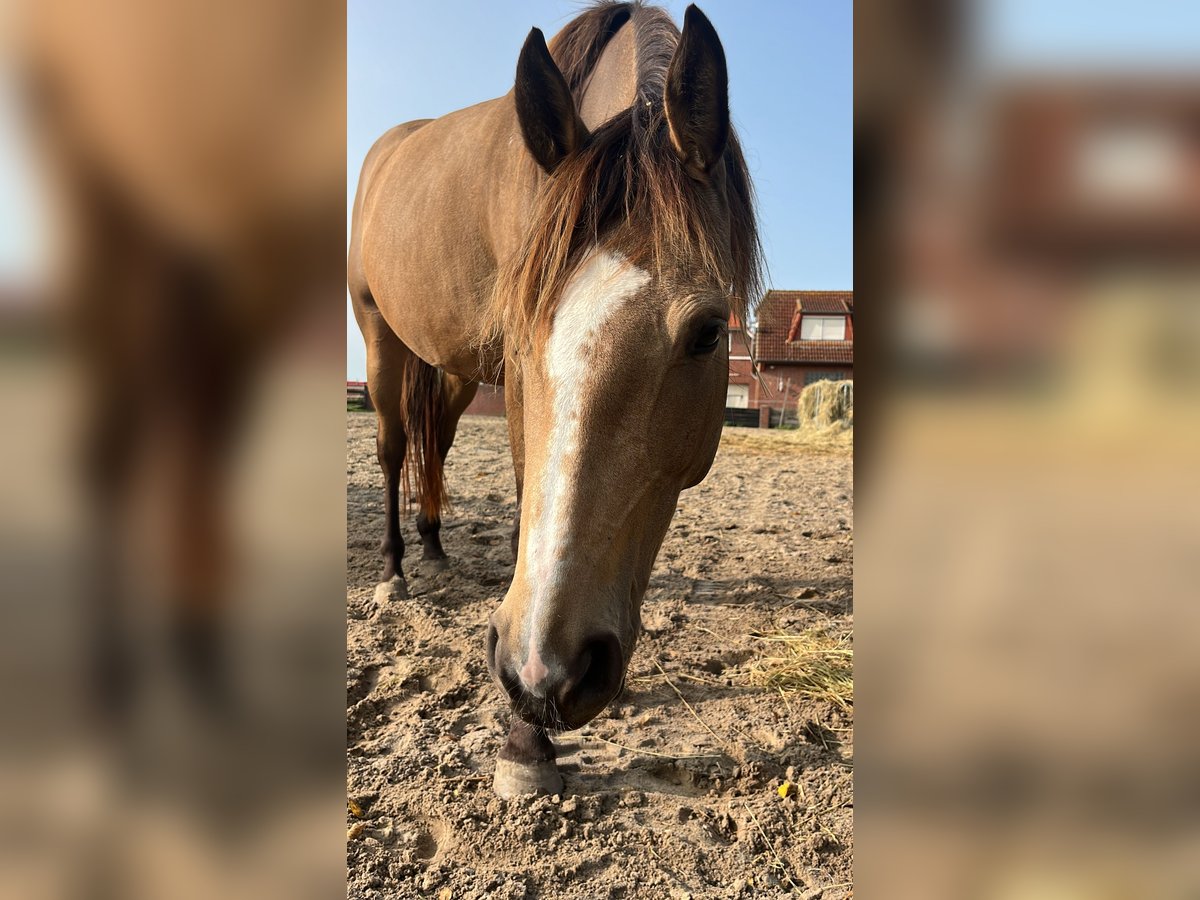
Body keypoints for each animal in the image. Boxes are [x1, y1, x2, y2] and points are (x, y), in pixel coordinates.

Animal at [348, 3, 758, 801]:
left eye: (708, 332)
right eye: (519, 319)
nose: (544, 671)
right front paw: (524, 740)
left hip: (452, 369)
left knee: (435, 448)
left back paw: (435, 551)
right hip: (380, 334)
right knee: (391, 449)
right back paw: (394, 571)